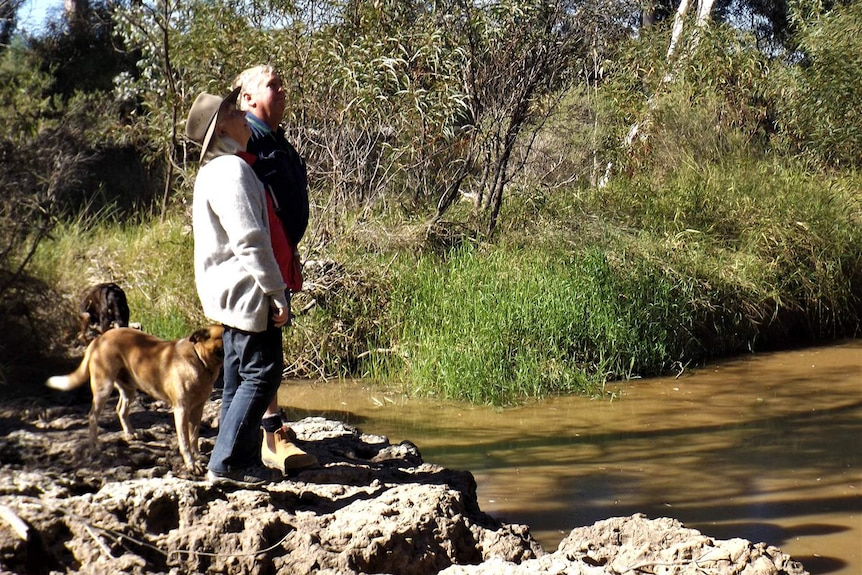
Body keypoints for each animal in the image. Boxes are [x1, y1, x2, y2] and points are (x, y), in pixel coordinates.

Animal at [46, 326, 224, 474]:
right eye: (224, 334)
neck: (199, 361)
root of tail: (99, 338)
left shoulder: (197, 409)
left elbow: (194, 437)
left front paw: (197, 456)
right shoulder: (181, 410)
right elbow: (185, 441)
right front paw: (191, 463)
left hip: (129, 389)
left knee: (121, 410)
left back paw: (130, 433)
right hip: (104, 387)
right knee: (92, 416)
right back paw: (95, 446)